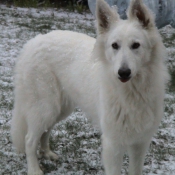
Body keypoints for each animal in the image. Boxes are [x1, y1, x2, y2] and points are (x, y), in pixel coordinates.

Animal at [10, 0, 168, 174]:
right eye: (115, 45)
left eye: (136, 45)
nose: (123, 73)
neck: (132, 91)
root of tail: (33, 42)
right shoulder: (113, 144)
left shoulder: (140, 144)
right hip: (45, 108)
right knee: (29, 140)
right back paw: (34, 169)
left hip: (59, 110)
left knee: (45, 131)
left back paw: (47, 153)